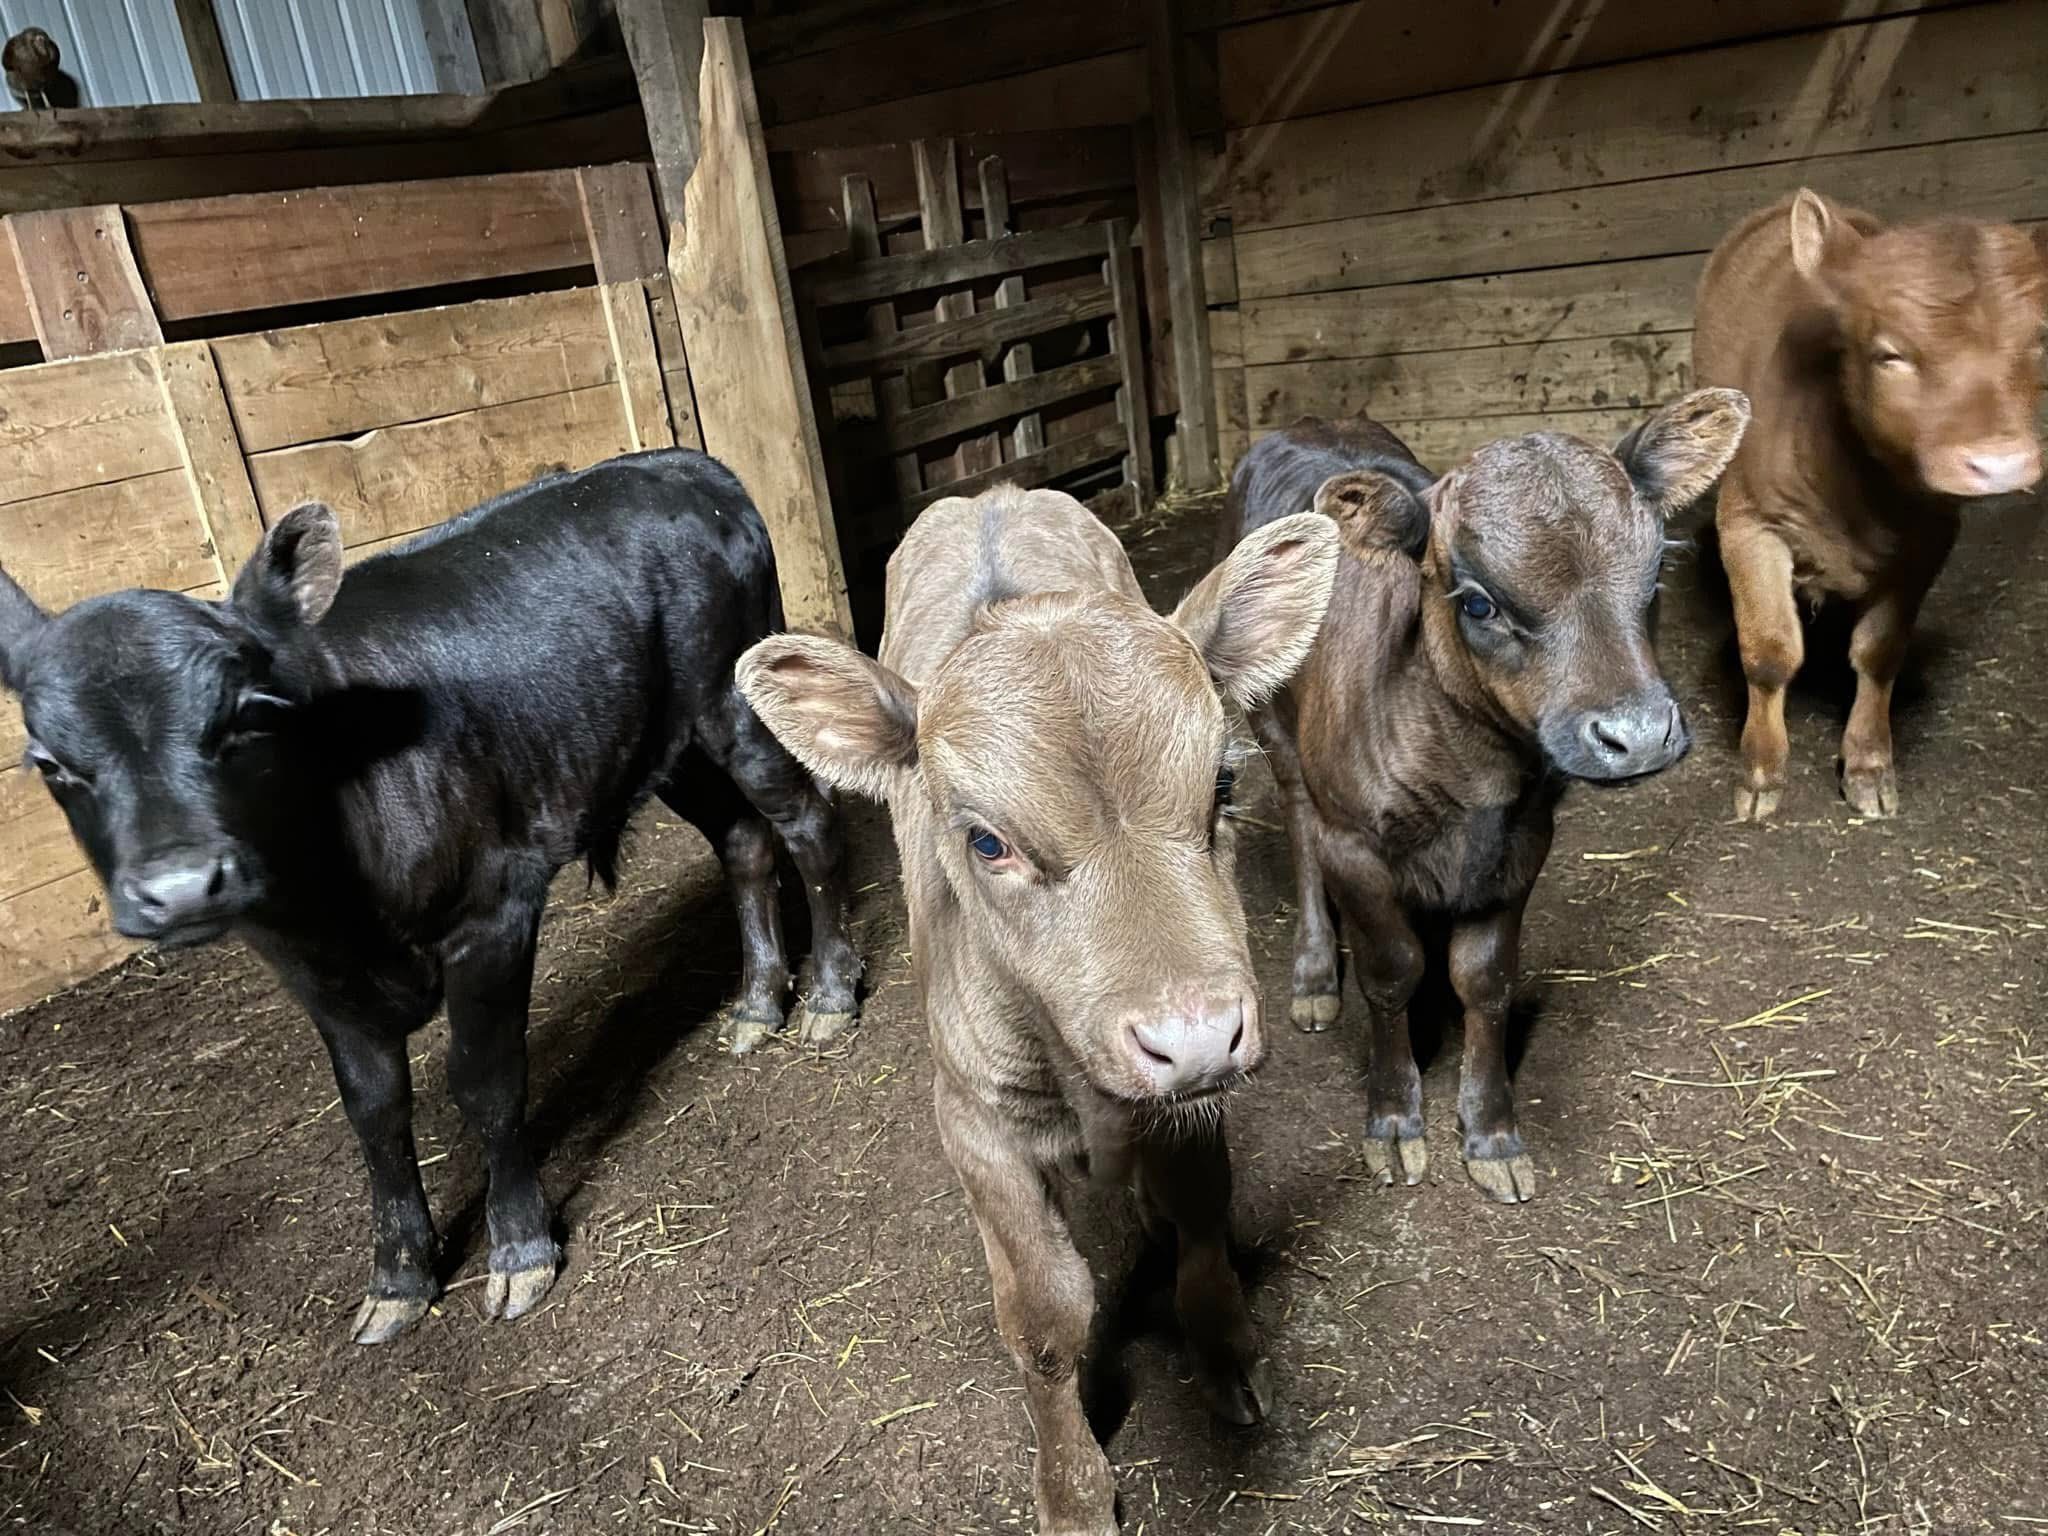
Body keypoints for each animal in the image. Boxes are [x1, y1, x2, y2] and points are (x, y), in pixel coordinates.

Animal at [0, 449, 862, 1343]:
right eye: (50, 762)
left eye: (247, 719)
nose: (179, 887)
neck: (332, 905)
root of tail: (687, 462)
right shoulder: (316, 975)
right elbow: (374, 1112)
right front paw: (399, 1277)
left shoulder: (492, 913)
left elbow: (485, 1080)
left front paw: (519, 1248)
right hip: (667, 744)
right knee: (743, 841)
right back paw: (757, 1003)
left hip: (735, 701)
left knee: (806, 824)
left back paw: (830, 994)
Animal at [736, 485, 1339, 1536]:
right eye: (986, 841)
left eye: (1222, 784)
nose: (1191, 1036)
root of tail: (995, 490)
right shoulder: (974, 1121)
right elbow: (1048, 1318)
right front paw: (1073, 1491)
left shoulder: (1195, 1098)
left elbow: (1203, 1210)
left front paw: (1226, 1350)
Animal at [1228, 393, 1749, 1204]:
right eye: (1477, 603)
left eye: (1658, 566)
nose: (1637, 735)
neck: (1470, 777)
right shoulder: (1355, 841)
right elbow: (1390, 971)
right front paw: (1394, 1118)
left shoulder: (1525, 837)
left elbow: (1486, 979)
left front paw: (1490, 1130)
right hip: (1273, 726)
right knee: (1297, 817)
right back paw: (1314, 972)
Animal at [1695, 189, 2048, 820]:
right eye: (1890, 354)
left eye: (2039, 340)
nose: (2000, 463)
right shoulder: (1747, 522)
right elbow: (1769, 653)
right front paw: (1760, 773)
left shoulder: (1930, 538)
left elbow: (1879, 653)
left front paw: (1868, 764)